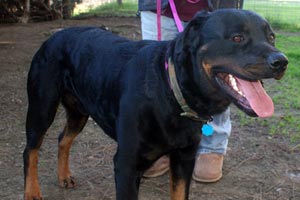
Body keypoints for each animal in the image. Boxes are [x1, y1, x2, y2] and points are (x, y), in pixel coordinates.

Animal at [24, 9, 288, 200]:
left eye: (272, 37)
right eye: (237, 37)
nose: (281, 61)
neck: (170, 91)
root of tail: (55, 35)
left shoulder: (184, 158)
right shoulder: (126, 165)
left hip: (79, 110)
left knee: (63, 138)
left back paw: (64, 176)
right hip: (42, 107)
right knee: (31, 150)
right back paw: (32, 192)